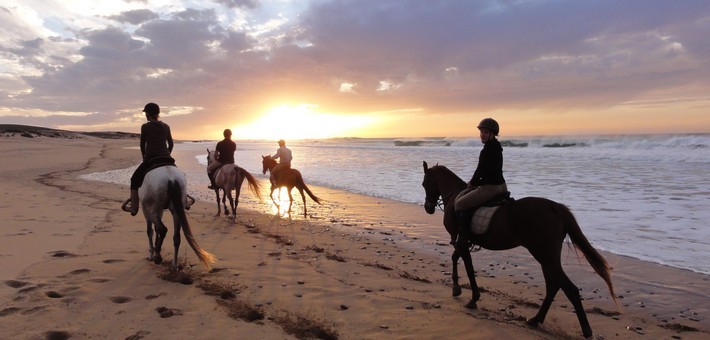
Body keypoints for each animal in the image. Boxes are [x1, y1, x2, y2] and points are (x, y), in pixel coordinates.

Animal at [422, 161, 616, 338]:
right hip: (547, 256)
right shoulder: (462, 242)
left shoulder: (460, 241)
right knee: (553, 285)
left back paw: (585, 330)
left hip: (543, 254)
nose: (428, 208)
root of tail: (553, 206)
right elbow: (456, 258)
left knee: (569, 288)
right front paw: (457, 289)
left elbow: (467, 267)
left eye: (424, 183)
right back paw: (536, 319)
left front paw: (472, 297)